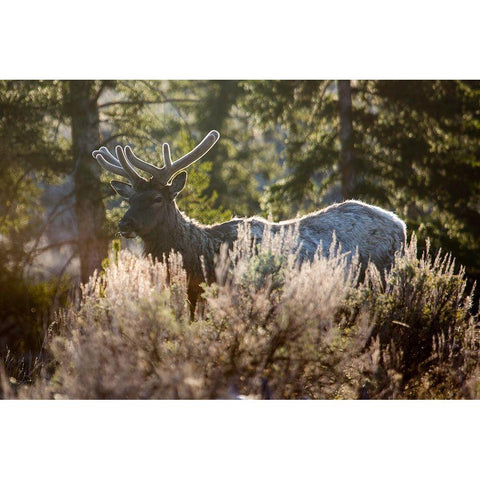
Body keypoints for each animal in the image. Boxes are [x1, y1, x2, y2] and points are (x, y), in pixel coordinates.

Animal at [93, 130, 404, 308]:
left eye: (157, 198)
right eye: (129, 199)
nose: (124, 224)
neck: (202, 257)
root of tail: (400, 224)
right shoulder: (194, 294)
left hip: (381, 276)